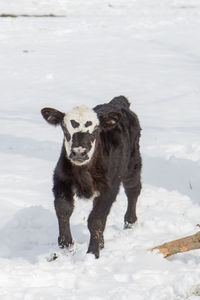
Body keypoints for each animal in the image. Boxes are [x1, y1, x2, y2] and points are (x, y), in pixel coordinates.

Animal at [41, 95, 141, 258]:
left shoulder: (110, 187)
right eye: (65, 129)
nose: (79, 153)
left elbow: (96, 219)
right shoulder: (60, 177)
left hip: (133, 164)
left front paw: (93, 253)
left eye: (95, 131)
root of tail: (117, 101)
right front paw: (66, 244)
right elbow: (63, 208)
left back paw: (130, 222)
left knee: (133, 190)